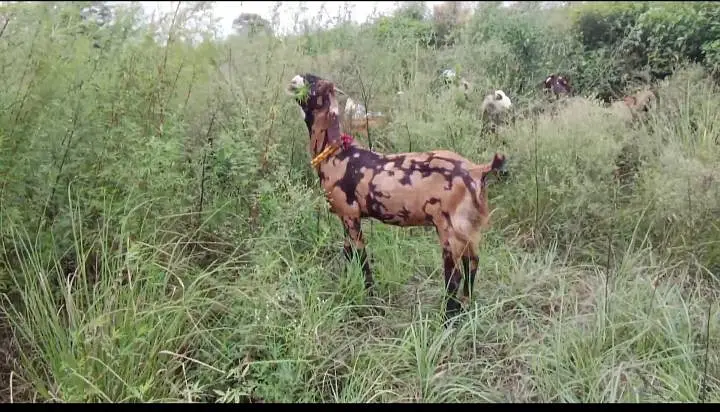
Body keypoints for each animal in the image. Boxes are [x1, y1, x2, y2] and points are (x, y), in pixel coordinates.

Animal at [286, 73, 508, 325]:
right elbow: (348, 253)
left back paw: (445, 320)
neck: (337, 153)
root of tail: (477, 170)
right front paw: (347, 286)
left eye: (312, 83)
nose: (293, 80)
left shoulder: (350, 214)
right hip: (468, 227)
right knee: (473, 263)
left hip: (448, 228)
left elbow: (362, 259)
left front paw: (372, 302)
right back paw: (466, 309)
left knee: (454, 275)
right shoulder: (344, 216)